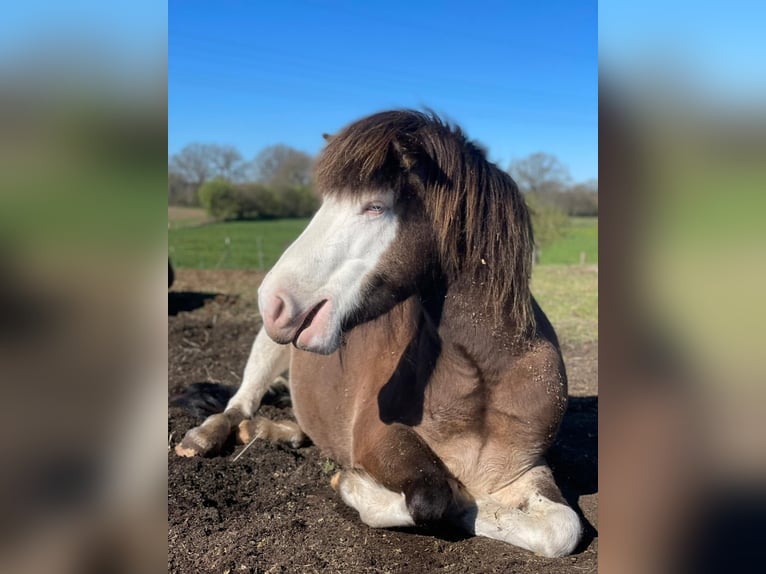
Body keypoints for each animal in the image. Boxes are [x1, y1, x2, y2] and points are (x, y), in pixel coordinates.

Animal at [175, 110, 582, 557]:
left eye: (375, 207)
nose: (272, 301)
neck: (484, 374)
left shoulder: (528, 466)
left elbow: (562, 528)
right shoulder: (379, 437)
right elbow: (435, 497)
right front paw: (353, 484)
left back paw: (268, 431)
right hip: (268, 346)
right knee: (240, 404)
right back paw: (204, 436)